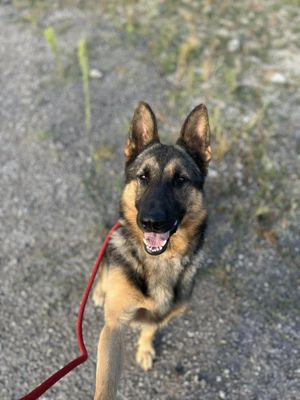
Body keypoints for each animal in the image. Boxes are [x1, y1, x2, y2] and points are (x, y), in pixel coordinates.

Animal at [92, 101, 212, 398]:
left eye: (180, 180)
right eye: (143, 177)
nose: (151, 222)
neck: (161, 261)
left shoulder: (164, 315)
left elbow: (149, 328)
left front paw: (145, 349)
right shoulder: (114, 327)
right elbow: (106, 381)